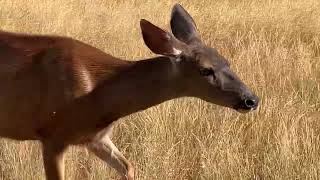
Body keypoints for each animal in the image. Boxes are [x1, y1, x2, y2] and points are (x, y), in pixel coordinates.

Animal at [0, 3, 258, 180]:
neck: (98, 96)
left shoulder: (96, 137)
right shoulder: (53, 135)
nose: (251, 100)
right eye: (205, 70)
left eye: (227, 61)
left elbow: (129, 167)